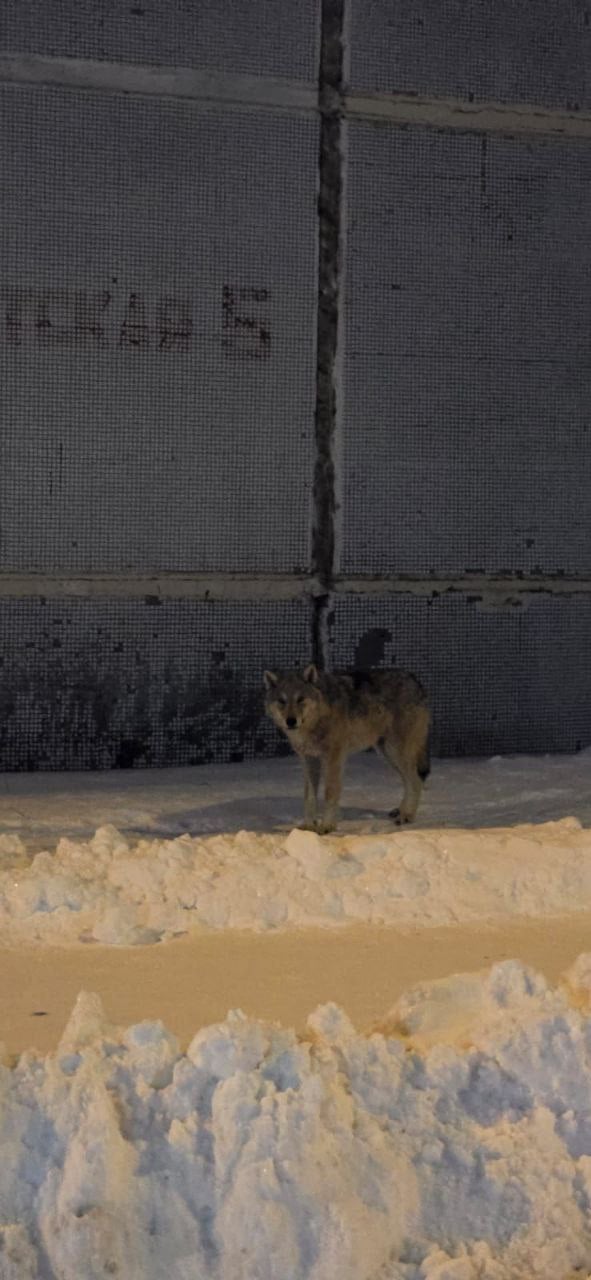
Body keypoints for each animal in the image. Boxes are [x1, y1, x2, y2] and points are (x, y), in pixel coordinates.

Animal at [263, 665, 429, 834]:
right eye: (282, 701)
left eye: (300, 699)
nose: (290, 721)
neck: (317, 719)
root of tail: (415, 681)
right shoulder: (309, 759)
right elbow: (309, 797)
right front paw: (308, 828)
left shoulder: (333, 757)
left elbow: (330, 792)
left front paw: (327, 826)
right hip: (388, 754)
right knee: (409, 781)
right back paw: (401, 811)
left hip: (395, 752)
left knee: (416, 781)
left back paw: (407, 816)